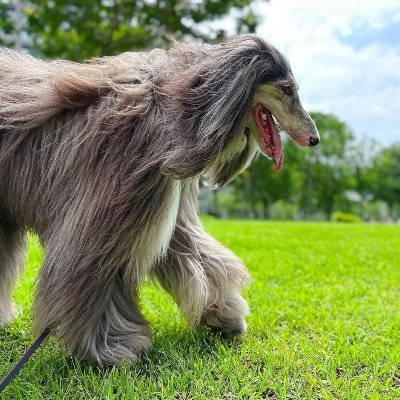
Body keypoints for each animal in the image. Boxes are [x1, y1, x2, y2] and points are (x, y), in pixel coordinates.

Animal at [0, 36, 318, 364]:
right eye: (287, 88)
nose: (315, 139)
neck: (174, 113)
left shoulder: (163, 207)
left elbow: (199, 258)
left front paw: (224, 316)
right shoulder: (106, 216)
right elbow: (93, 276)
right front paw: (110, 349)